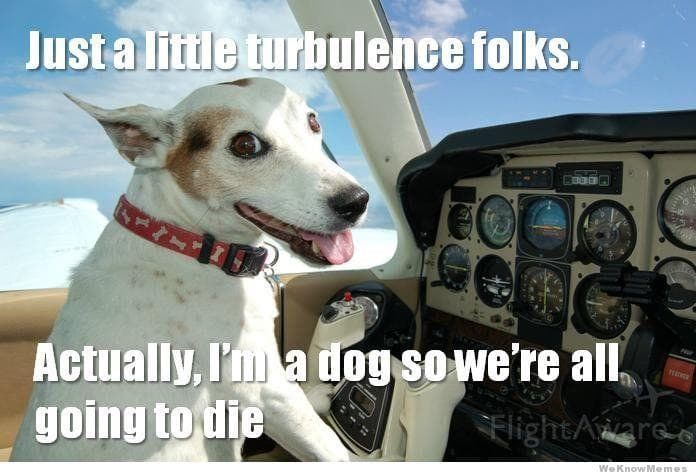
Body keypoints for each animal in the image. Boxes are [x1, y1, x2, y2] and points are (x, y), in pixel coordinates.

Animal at [11, 77, 368, 461]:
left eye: (313, 122)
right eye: (246, 145)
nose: (357, 202)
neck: (188, 242)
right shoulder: (265, 389)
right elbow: (330, 446)